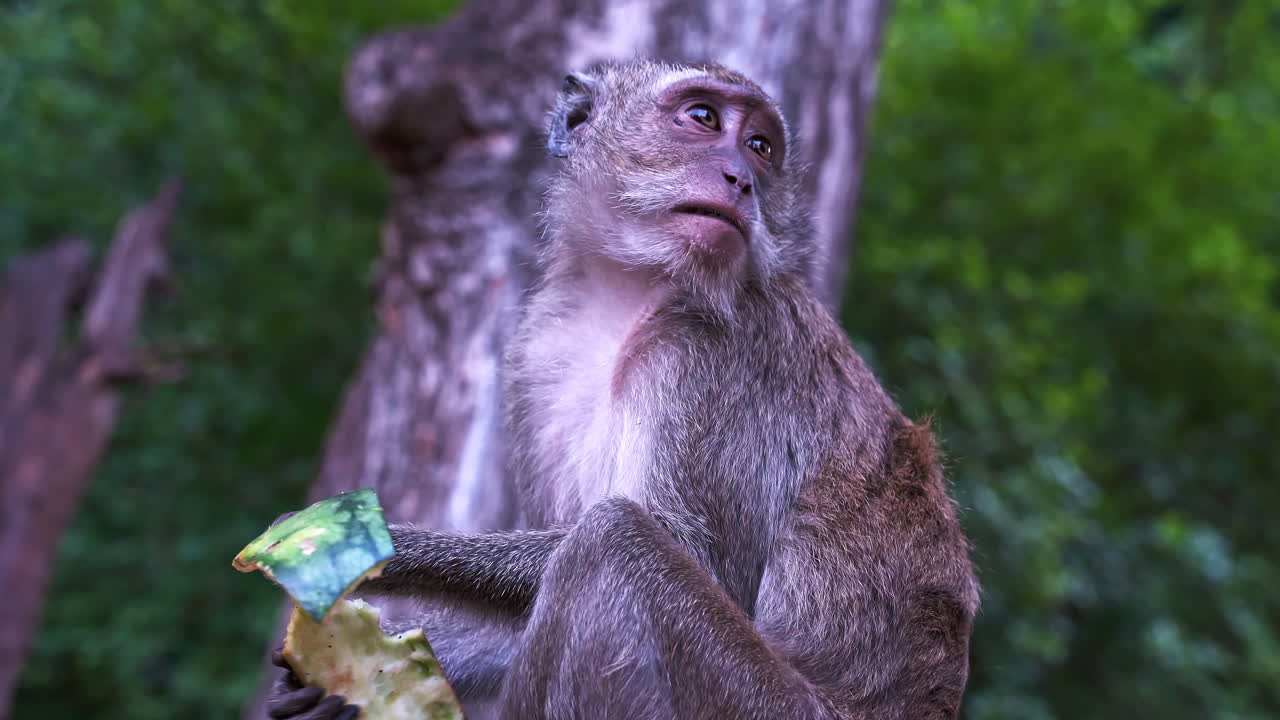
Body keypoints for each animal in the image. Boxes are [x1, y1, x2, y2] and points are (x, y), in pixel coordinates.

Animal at [265, 59, 978, 720]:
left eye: (760, 147)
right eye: (703, 118)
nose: (742, 179)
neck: (633, 290)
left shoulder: (714, 351)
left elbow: (689, 553)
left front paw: (396, 547)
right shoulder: (534, 352)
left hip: (754, 704)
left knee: (613, 543)